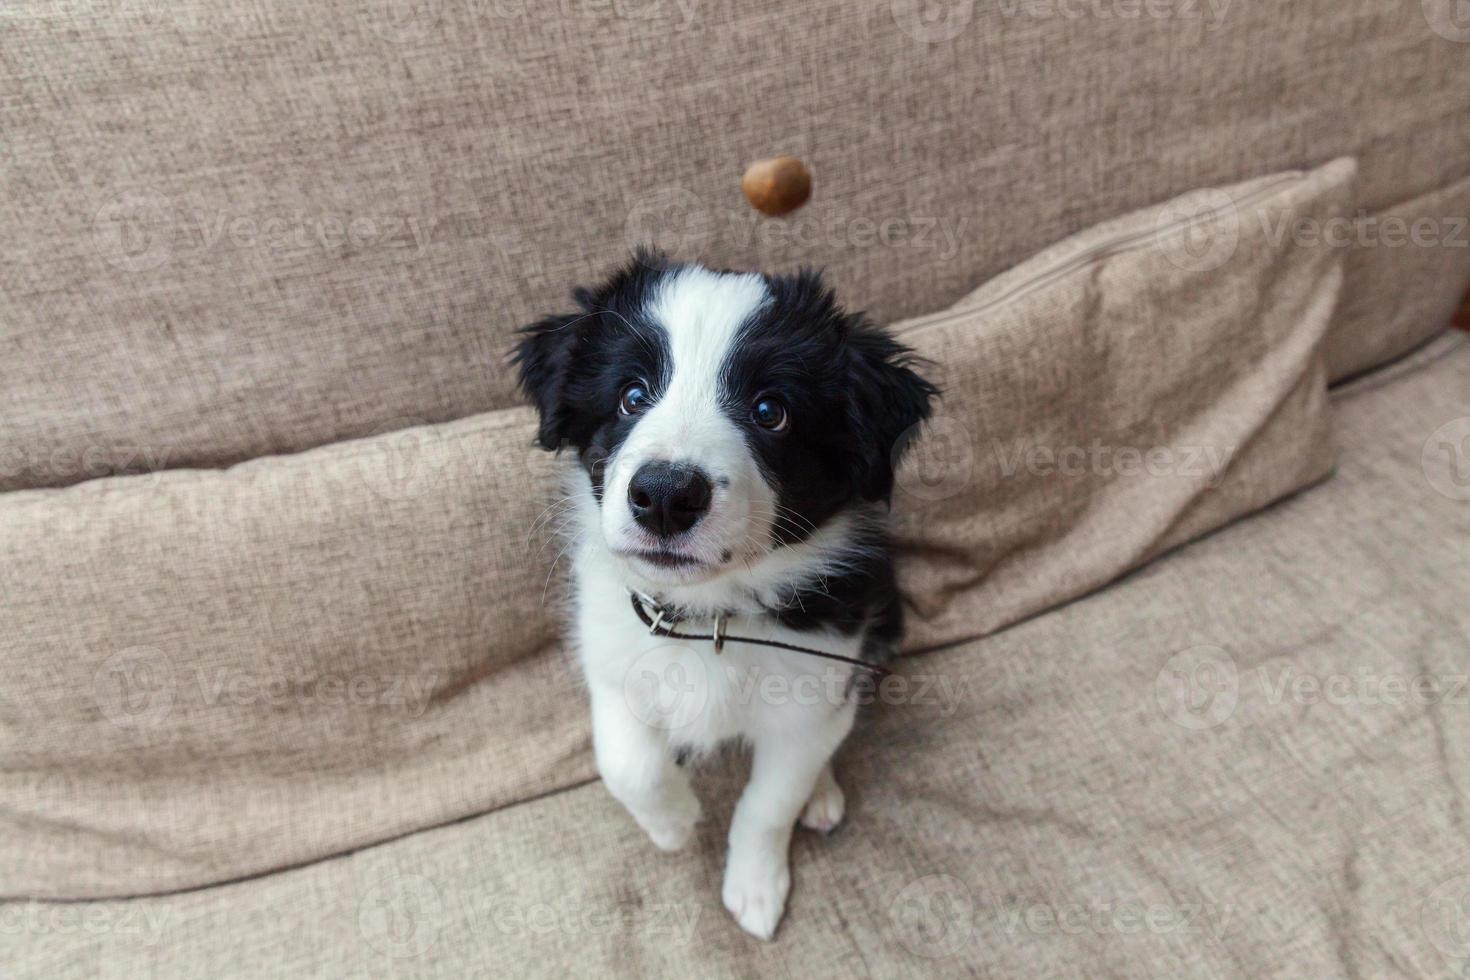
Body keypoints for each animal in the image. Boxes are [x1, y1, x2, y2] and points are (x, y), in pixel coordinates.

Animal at [511, 252, 934, 940]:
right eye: (631, 396)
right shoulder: (612, 656)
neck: (711, 613)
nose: (664, 495)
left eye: (770, 411)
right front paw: (673, 824)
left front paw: (756, 888)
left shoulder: (816, 682)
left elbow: (770, 801)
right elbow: (627, 763)